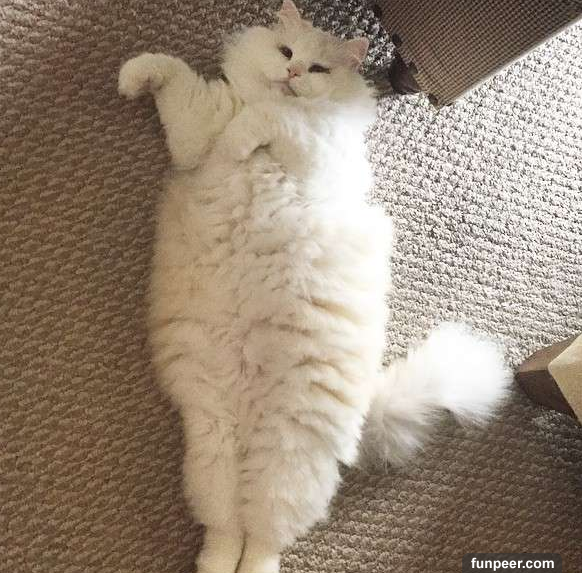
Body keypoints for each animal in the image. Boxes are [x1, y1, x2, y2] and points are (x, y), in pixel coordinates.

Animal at [118, 2, 511, 572]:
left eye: (319, 68)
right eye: (286, 51)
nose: (294, 71)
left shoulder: (311, 148)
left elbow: (272, 121)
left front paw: (242, 141)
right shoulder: (196, 128)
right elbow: (170, 73)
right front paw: (131, 77)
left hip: (287, 461)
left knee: (264, 540)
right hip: (213, 446)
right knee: (228, 529)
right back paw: (215, 563)